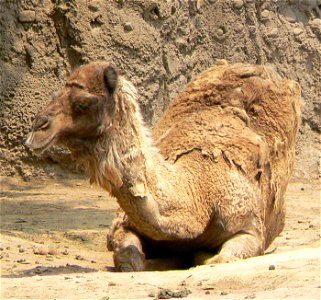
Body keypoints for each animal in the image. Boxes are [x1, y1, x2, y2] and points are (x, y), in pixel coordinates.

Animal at [25, 59, 300, 270]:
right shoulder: (123, 225)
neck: (200, 191)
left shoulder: (250, 230)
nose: (37, 128)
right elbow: (128, 259)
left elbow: (219, 258)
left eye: (84, 103)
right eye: (55, 94)